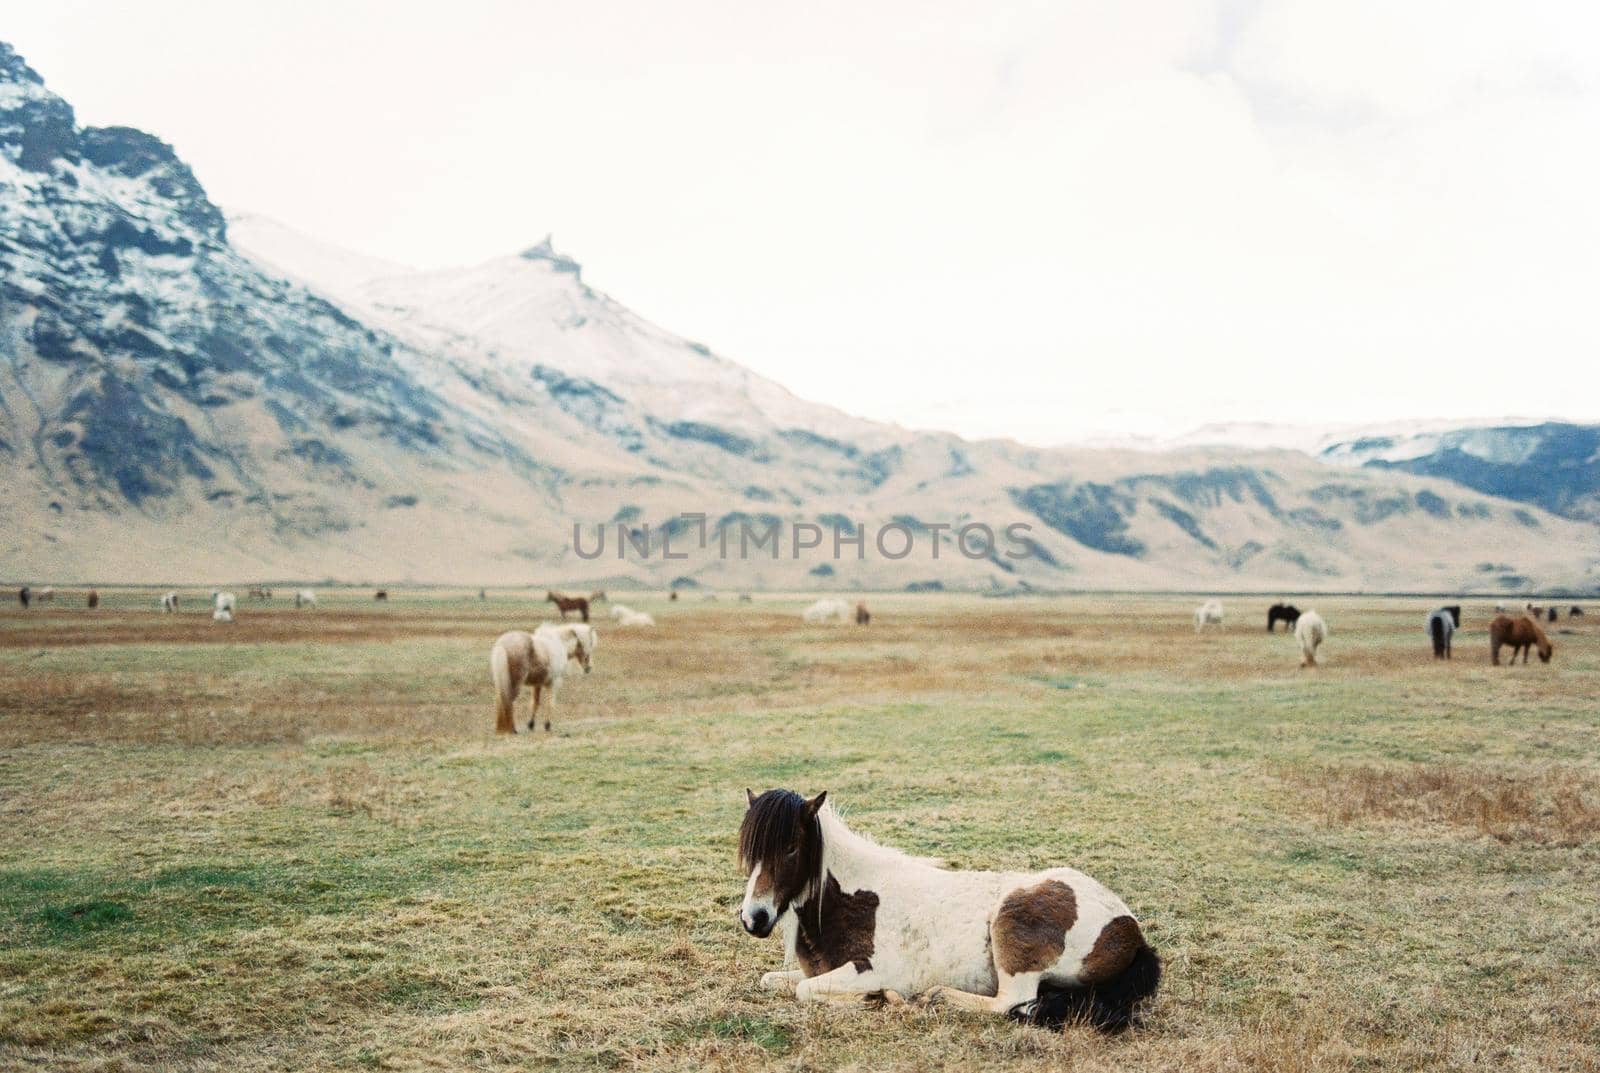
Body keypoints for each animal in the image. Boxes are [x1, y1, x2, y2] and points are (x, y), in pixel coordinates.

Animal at [736, 789, 1164, 1029]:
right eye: (750, 851)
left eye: (791, 848)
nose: (753, 919)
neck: (852, 900)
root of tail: (1128, 927)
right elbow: (774, 981)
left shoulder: (869, 971)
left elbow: (805, 990)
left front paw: (879, 998)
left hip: (1011, 925)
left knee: (1011, 1003)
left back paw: (937, 997)